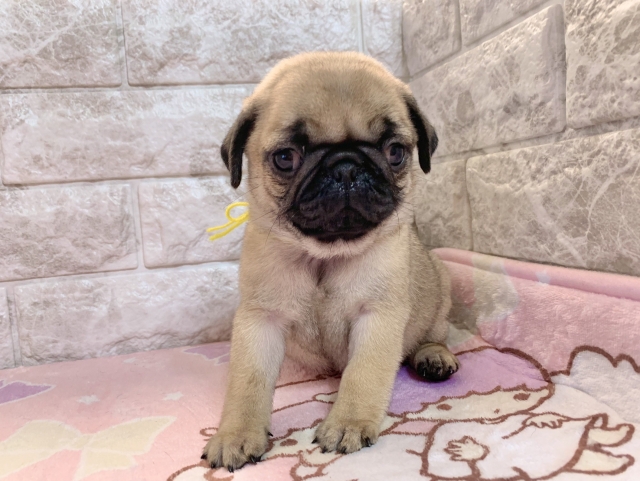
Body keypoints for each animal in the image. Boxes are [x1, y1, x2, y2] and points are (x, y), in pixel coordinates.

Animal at [203, 51, 459, 471]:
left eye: (395, 152)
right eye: (285, 158)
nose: (346, 167)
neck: (324, 255)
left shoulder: (378, 316)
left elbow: (364, 374)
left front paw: (348, 422)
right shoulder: (259, 320)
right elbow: (248, 381)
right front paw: (236, 434)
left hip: (440, 292)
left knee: (433, 333)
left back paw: (434, 356)